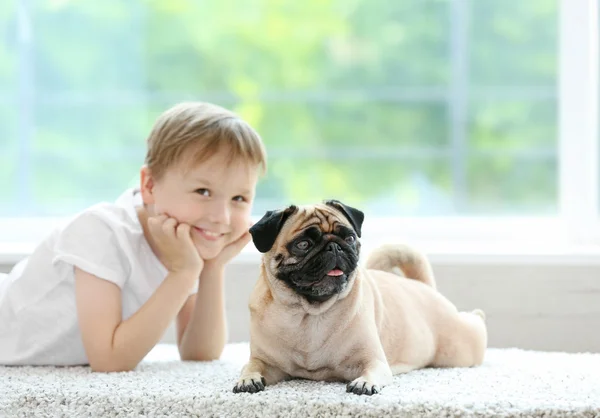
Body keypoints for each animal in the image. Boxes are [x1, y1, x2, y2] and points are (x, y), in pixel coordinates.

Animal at [234, 201, 488, 396]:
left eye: (349, 238)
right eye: (303, 244)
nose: (334, 247)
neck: (310, 313)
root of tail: (423, 286)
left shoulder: (373, 359)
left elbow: (372, 370)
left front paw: (365, 383)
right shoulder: (267, 361)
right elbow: (251, 365)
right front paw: (247, 379)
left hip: (460, 350)